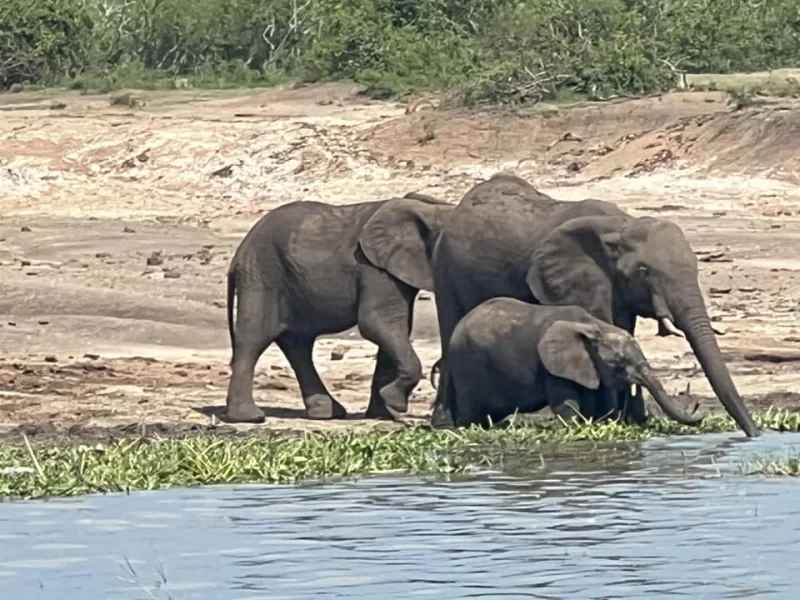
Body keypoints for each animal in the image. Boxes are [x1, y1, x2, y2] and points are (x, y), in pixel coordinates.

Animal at [223, 192, 450, 422]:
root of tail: (238, 253)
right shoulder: (374, 269)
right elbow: (377, 323)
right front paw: (394, 405)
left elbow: (397, 327)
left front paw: (384, 414)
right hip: (261, 274)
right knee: (254, 338)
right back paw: (249, 417)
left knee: (298, 343)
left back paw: (327, 413)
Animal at [434, 298, 704, 428]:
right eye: (619, 363)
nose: (697, 409)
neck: (593, 325)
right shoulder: (551, 366)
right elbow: (567, 405)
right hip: (468, 364)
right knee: (471, 412)